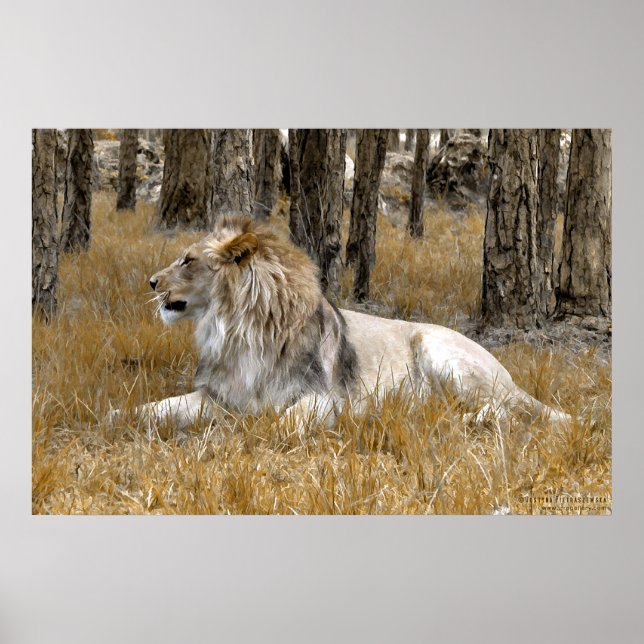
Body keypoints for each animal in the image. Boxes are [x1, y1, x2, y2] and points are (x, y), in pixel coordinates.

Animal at [124, 214, 569, 431]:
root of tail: (508, 375)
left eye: (187, 260)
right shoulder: (217, 395)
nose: (151, 282)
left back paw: (469, 420)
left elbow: (282, 424)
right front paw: (118, 418)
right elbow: (152, 408)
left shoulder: (325, 397)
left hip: (441, 351)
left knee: (508, 411)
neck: (234, 330)